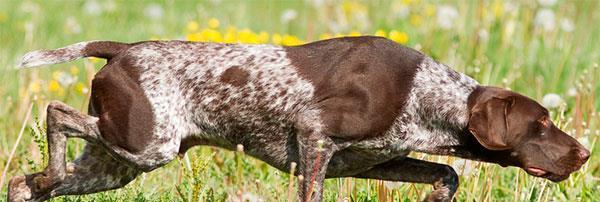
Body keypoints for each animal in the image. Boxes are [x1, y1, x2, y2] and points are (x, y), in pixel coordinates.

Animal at [9, 36, 592, 202]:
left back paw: (36, 184)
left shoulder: (371, 161)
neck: (425, 94)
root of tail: (122, 50)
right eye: (541, 124)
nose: (585, 153)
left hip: (115, 164)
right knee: (55, 112)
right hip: (147, 144)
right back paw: (50, 166)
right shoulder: (314, 137)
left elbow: (445, 173)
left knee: (24, 181)